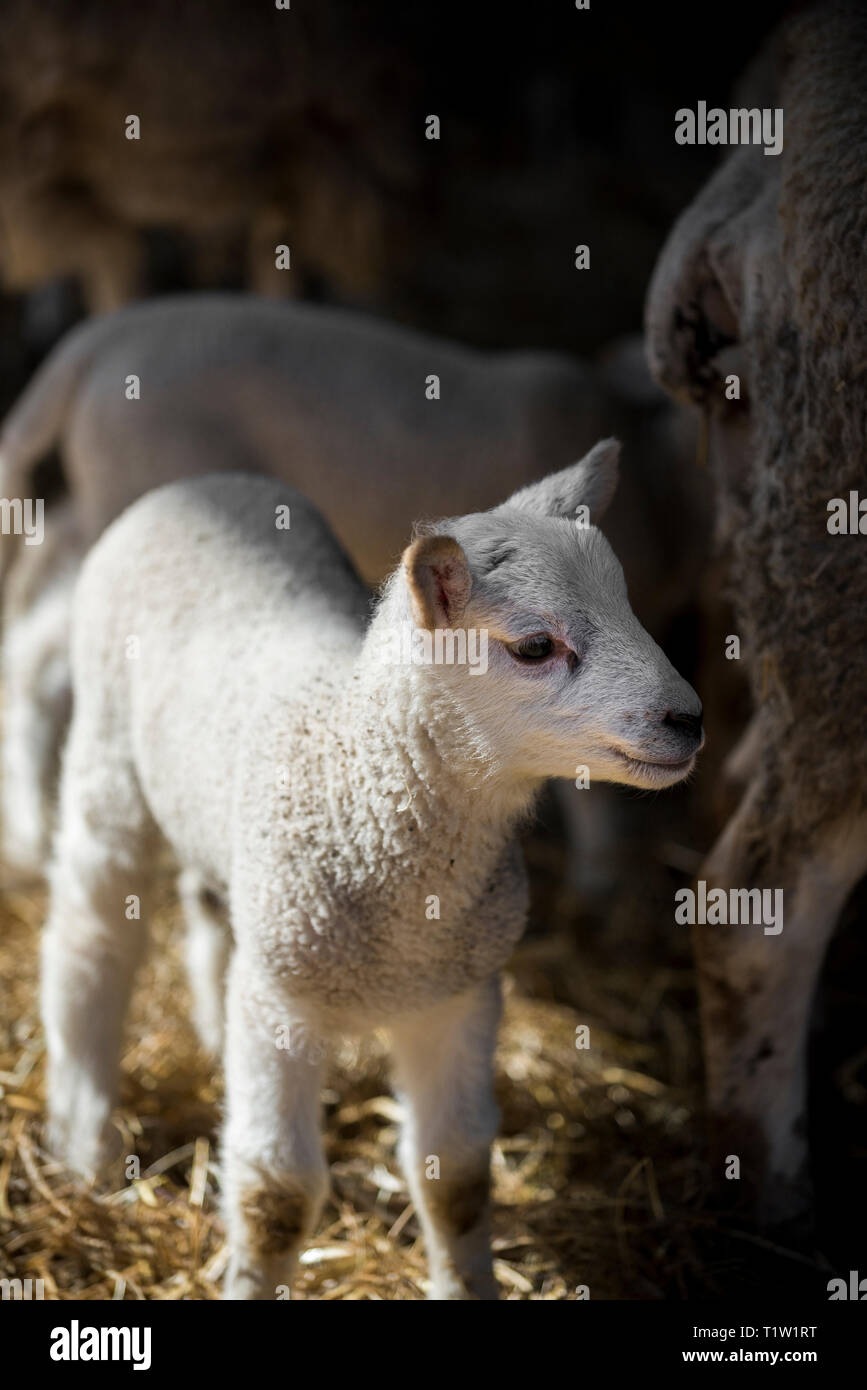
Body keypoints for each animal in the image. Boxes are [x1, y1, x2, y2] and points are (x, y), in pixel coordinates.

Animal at [44, 447, 700, 1301]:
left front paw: (465, 1285)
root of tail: (196, 486)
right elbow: (276, 1196)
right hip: (107, 748)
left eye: (626, 604)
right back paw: (83, 1140)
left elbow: (457, 1179)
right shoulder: (283, 1004)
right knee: (90, 937)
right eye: (533, 647)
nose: (688, 720)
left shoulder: (458, 996)